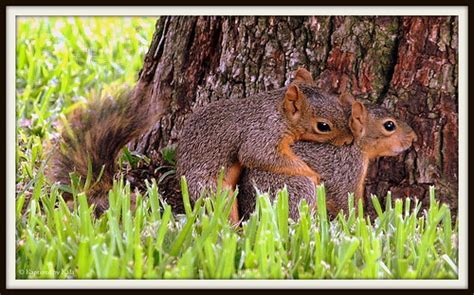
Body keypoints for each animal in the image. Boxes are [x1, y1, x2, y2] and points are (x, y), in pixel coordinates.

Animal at [176, 67, 354, 224]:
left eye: (337, 102)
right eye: (323, 126)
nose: (349, 139)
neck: (280, 113)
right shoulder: (262, 134)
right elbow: (259, 156)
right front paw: (312, 175)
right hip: (212, 189)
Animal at [239, 95, 416, 220]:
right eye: (389, 125)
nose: (413, 137)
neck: (354, 146)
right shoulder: (345, 173)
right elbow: (346, 202)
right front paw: (358, 224)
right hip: (295, 187)